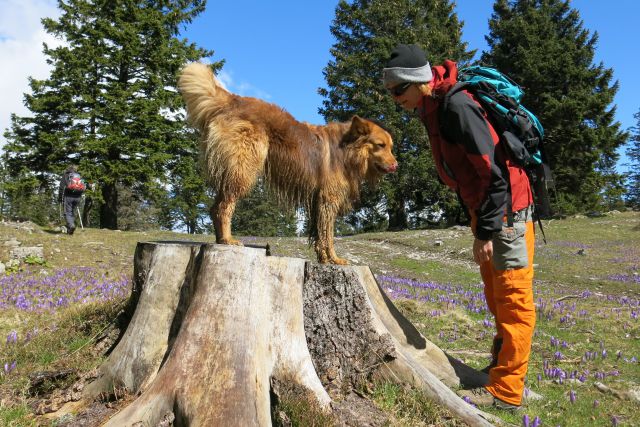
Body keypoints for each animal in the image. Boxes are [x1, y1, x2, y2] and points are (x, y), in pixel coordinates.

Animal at [175, 63, 396, 264]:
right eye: (380, 145)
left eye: (391, 147)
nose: (396, 165)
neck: (347, 150)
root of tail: (232, 100)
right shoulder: (328, 200)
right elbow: (328, 235)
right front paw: (334, 259)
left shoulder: (317, 201)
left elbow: (319, 235)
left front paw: (324, 259)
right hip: (243, 170)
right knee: (223, 207)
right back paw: (228, 240)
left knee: (215, 207)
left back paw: (221, 239)